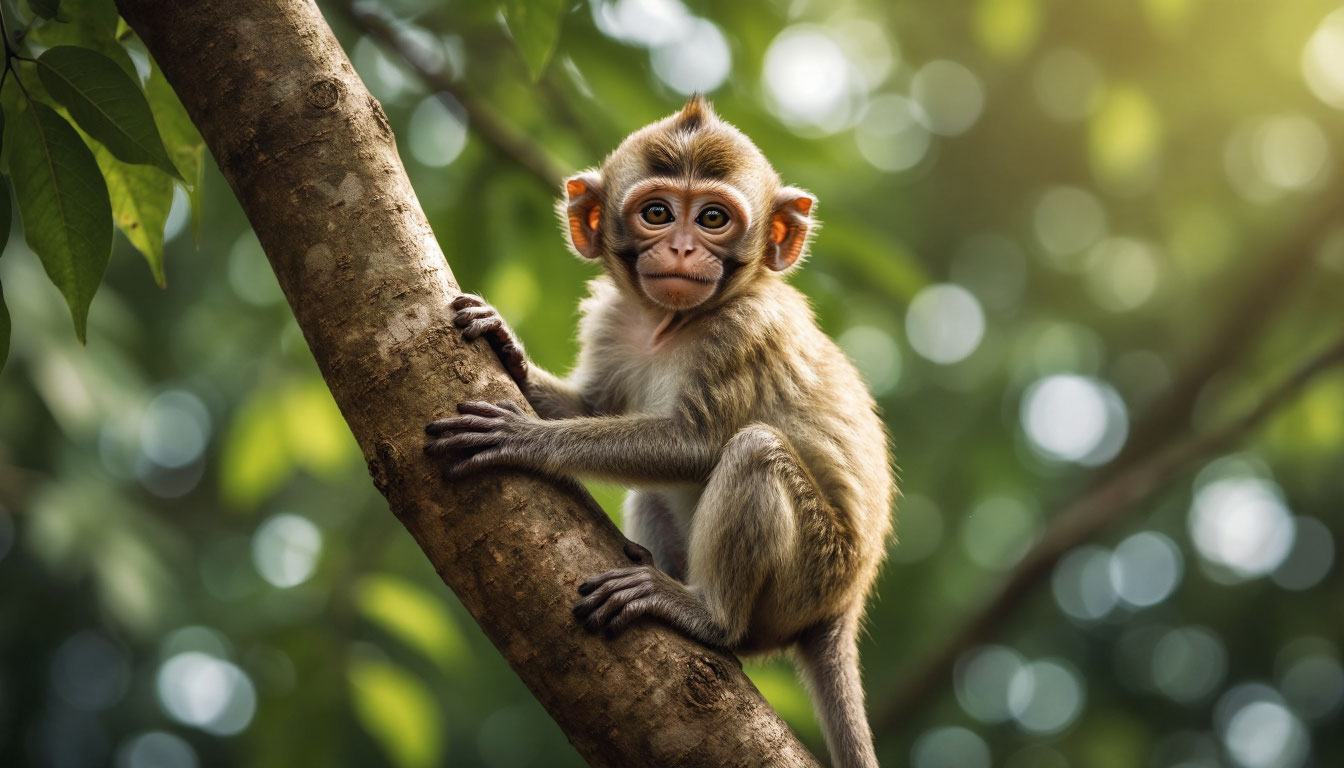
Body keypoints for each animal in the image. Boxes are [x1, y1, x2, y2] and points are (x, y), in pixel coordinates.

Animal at [425, 95, 893, 768]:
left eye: (714, 218)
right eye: (656, 213)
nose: (680, 249)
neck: (668, 323)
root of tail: (844, 607)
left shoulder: (744, 330)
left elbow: (698, 443)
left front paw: (523, 439)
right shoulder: (612, 318)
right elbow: (592, 403)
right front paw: (507, 348)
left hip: (814, 571)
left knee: (753, 452)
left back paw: (705, 614)